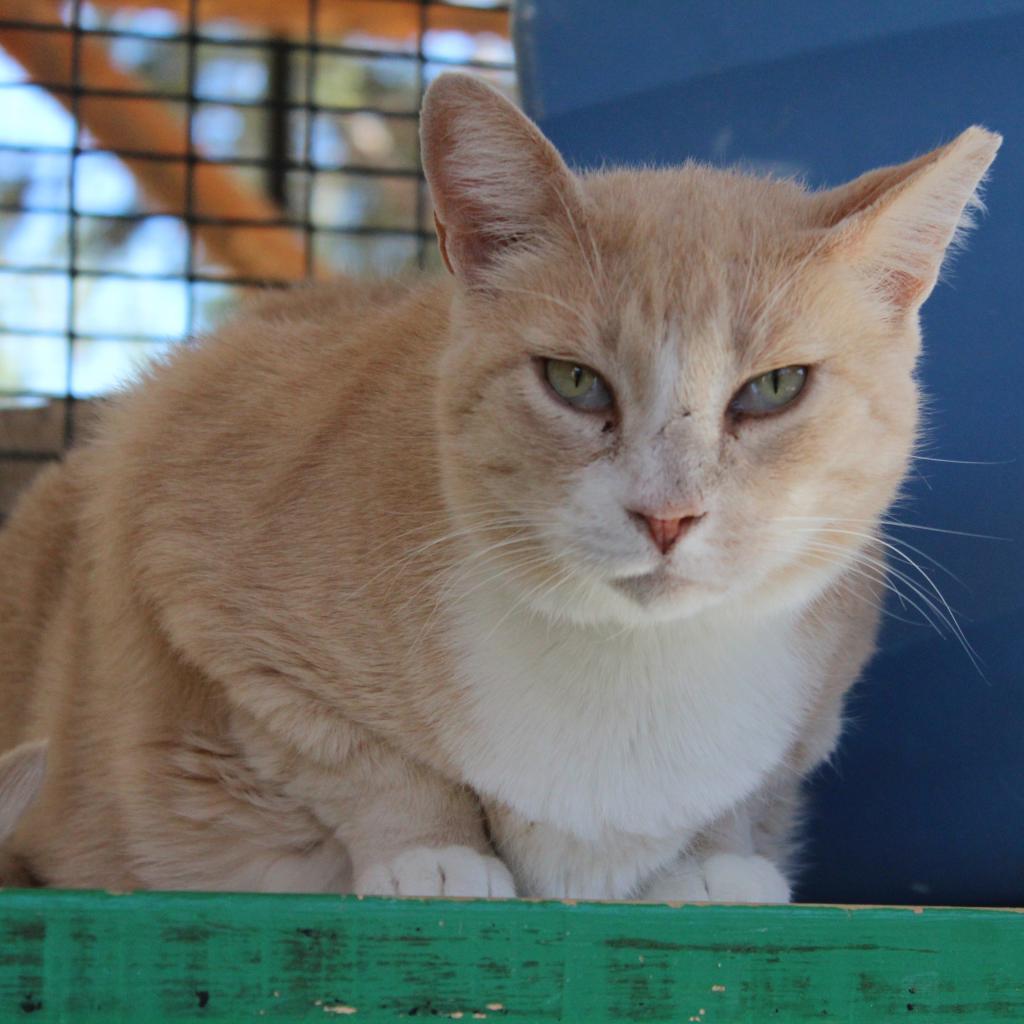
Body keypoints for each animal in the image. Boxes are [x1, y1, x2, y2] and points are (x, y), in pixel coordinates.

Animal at [0, 75, 999, 901]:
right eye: (575, 382)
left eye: (776, 388)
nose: (667, 514)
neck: (636, 671)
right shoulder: (188, 538)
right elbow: (360, 758)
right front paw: (434, 857)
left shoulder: (815, 706)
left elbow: (746, 796)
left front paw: (714, 866)